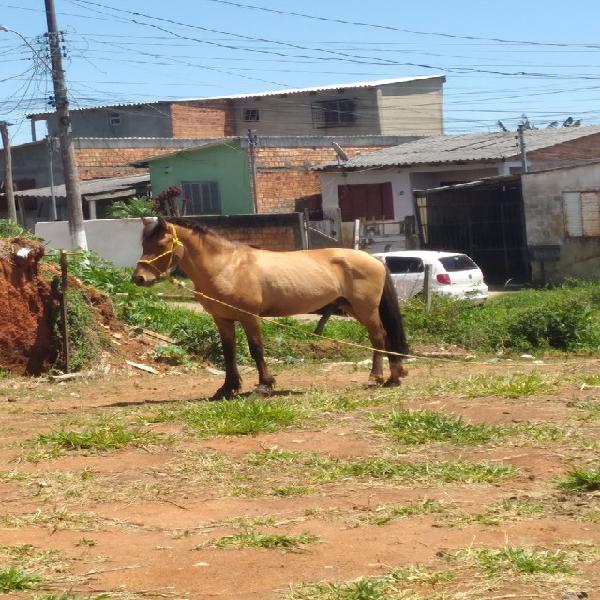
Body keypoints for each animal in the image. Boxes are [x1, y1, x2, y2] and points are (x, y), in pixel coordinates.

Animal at [133, 216, 410, 398]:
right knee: (383, 338)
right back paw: (393, 377)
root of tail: (374, 259)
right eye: (143, 244)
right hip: (353, 308)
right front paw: (226, 388)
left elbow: (256, 349)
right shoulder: (222, 320)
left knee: (378, 338)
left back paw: (376, 379)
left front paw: (264, 385)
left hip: (366, 310)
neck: (227, 266)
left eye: (161, 245)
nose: (139, 278)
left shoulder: (250, 317)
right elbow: (229, 353)